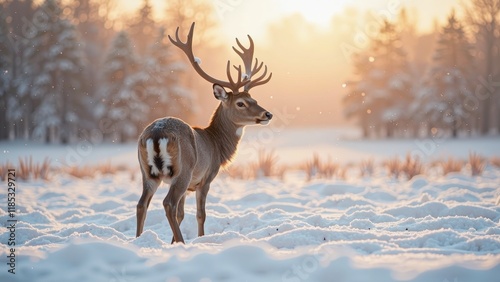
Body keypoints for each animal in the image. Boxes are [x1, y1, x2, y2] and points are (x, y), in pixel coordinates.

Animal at [135, 22, 272, 243]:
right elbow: (200, 214)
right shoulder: (205, 178)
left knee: (142, 204)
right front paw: (198, 238)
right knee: (168, 203)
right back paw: (182, 242)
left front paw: (172, 242)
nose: (267, 114)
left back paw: (138, 240)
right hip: (183, 170)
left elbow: (182, 214)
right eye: (241, 103)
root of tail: (156, 134)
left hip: (146, 172)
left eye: (254, 99)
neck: (216, 144)